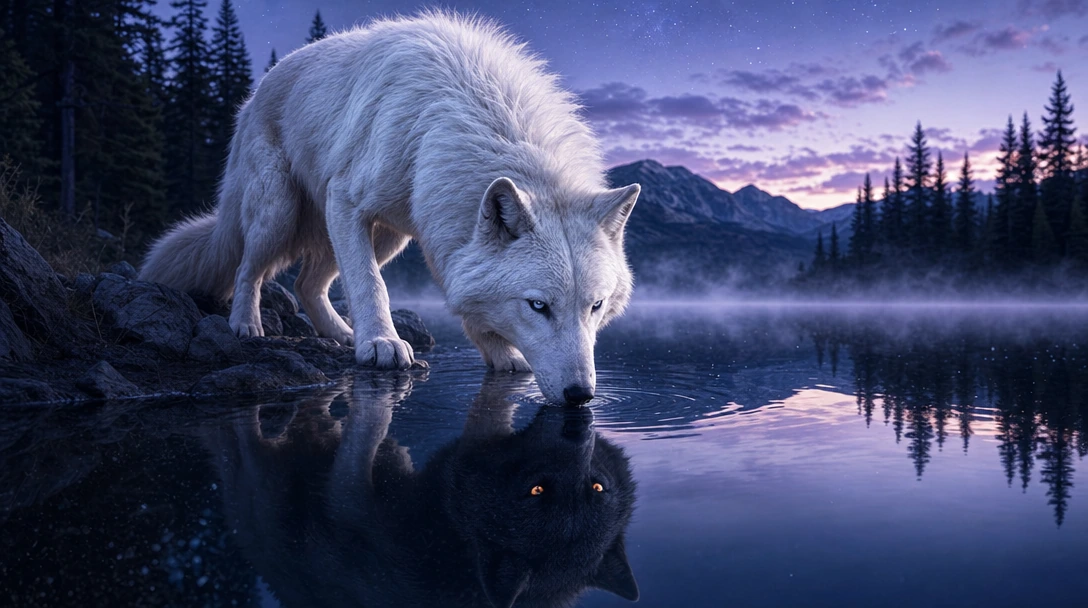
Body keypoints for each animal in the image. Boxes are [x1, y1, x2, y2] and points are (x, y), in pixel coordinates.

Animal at [139, 12, 640, 405]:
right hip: (280, 214)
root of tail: (256, 91)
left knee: (306, 283)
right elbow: (370, 284)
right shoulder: (345, 199)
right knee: (250, 268)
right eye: (538, 306)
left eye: (596, 306)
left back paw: (340, 333)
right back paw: (246, 324)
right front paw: (382, 343)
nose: (582, 396)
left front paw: (502, 357)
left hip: (389, 237)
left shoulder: (433, 225)